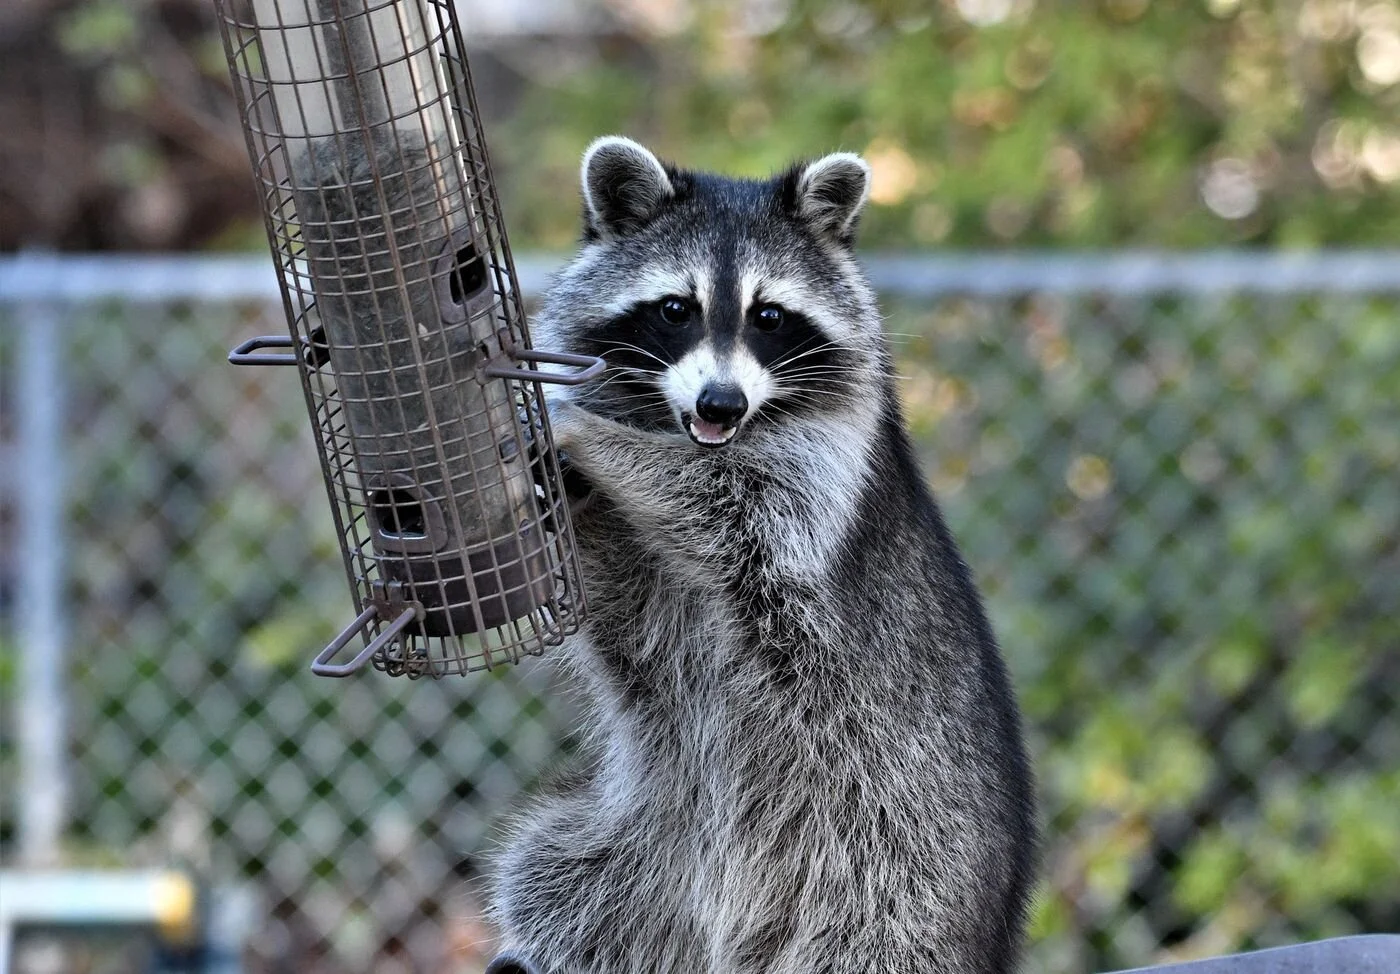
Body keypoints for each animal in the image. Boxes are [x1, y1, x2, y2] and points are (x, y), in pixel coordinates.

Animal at [487, 138, 1037, 974]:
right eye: (675, 309)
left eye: (769, 316)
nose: (722, 403)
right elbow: (620, 596)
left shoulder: (822, 471)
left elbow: (724, 508)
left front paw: (586, 435)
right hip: (640, 849)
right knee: (552, 876)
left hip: (894, 876)